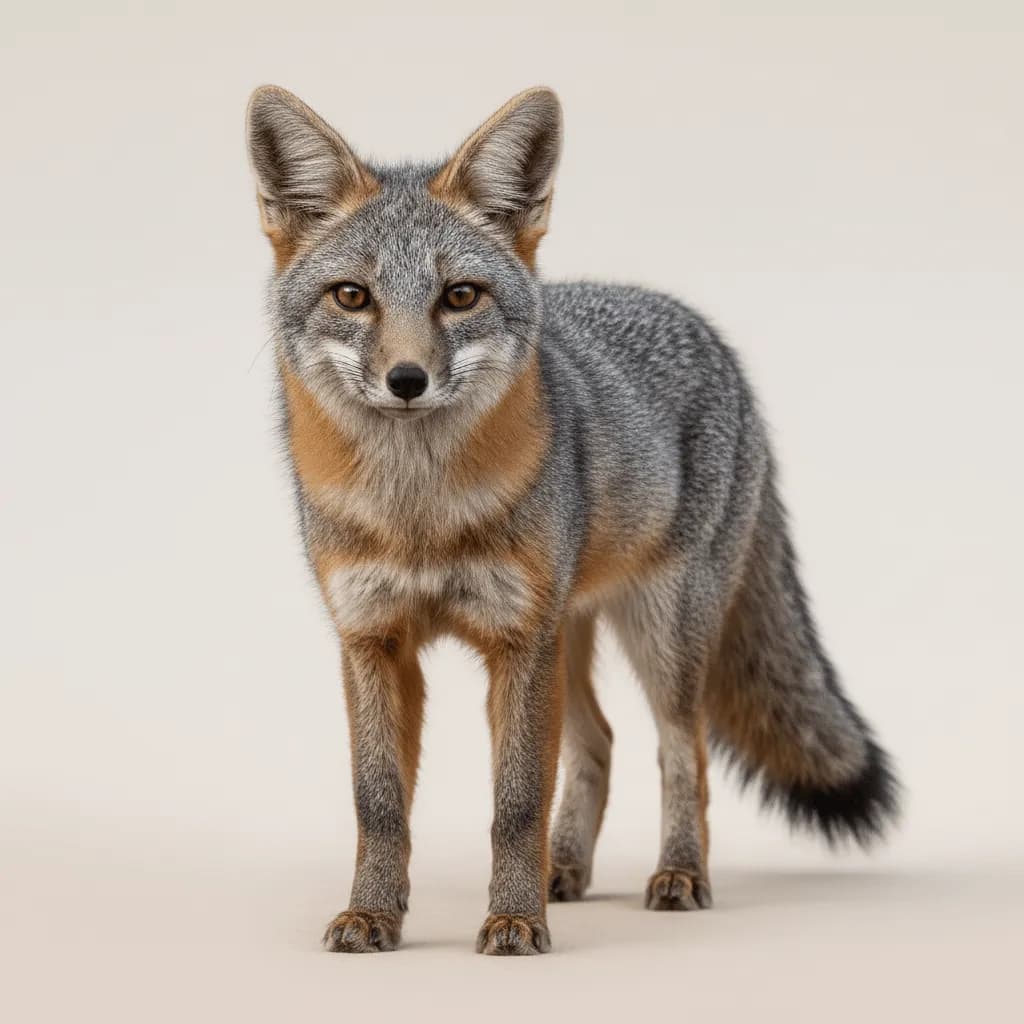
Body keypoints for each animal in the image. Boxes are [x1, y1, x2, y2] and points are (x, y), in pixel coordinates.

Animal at [245, 84, 899, 956]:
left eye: (460, 296)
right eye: (353, 296)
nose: (407, 380)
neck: (419, 516)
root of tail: (705, 330)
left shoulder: (520, 641)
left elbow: (516, 800)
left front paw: (514, 920)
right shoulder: (373, 638)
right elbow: (378, 803)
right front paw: (374, 915)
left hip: (660, 635)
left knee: (680, 751)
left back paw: (678, 875)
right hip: (574, 633)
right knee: (600, 743)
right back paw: (568, 871)